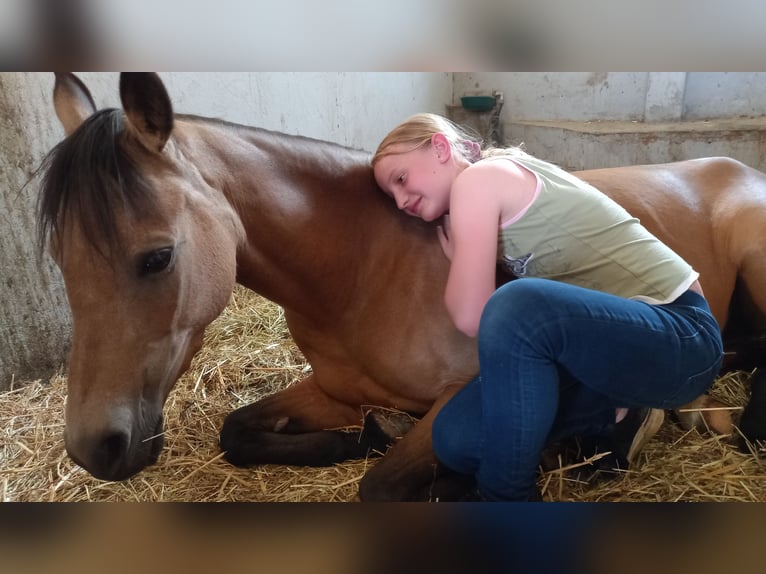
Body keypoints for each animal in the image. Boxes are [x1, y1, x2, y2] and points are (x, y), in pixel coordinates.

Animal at [37, 73, 766, 504]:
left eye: (157, 257)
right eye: (60, 259)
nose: (93, 448)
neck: (362, 270)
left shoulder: (466, 393)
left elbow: (384, 488)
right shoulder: (334, 389)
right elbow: (236, 431)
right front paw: (355, 439)